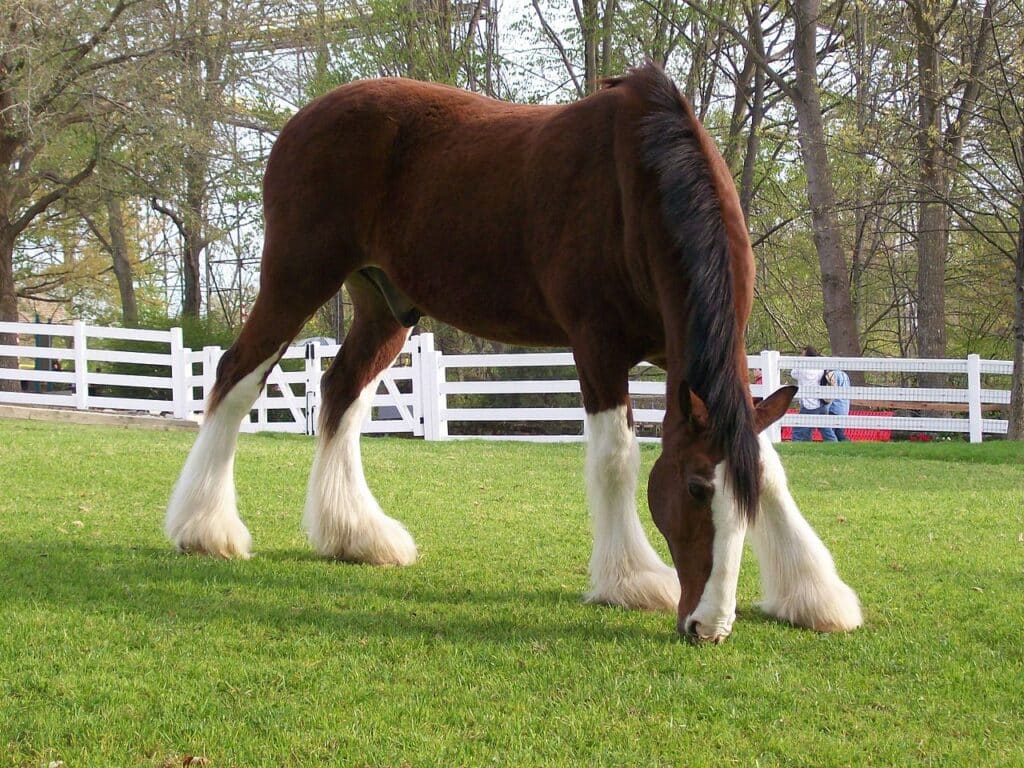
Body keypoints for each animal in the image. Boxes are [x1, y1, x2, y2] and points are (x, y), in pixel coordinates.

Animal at [167, 66, 864, 638]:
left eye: (740, 504)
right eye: (694, 490)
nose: (708, 627)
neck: (641, 185)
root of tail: (305, 117)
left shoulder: (685, 358)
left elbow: (767, 463)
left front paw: (814, 595)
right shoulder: (598, 346)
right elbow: (615, 458)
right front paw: (632, 580)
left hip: (385, 304)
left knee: (341, 392)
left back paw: (356, 537)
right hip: (296, 275)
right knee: (236, 378)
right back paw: (204, 528)